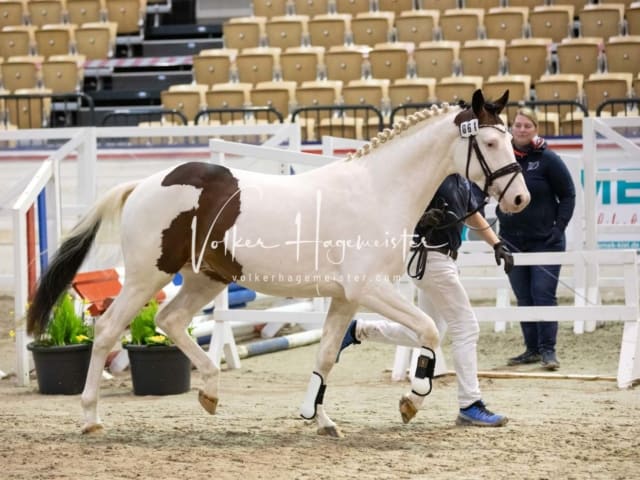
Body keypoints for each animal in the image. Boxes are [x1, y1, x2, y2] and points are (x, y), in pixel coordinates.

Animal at [26, 88, 528, 436]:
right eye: (488, 141)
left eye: (509, 139)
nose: (520, 198)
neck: (377, 188)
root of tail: (144, 184)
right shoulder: (370, 289)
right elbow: (427, 330)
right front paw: (412, 400)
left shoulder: (346, 298)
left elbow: (326, 355)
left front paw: (319, 419)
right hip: (146, 276)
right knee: (110, 329)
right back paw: (90, 417)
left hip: (204, 279)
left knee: (169, 321)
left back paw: (210, 391)